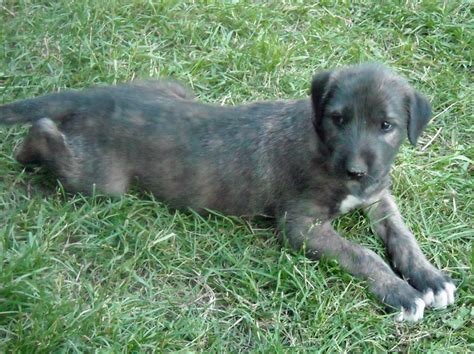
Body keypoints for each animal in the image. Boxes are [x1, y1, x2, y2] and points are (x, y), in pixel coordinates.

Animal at [0, 63, 456, 320]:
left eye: (386, 125)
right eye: (338, 119)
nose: (358, 172)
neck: (321, 146)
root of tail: (96, 97)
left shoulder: (379, 198)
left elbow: (404, 238)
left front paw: (430, 279)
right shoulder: (302, 226)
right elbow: (361, 254)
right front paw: (401, 292)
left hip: (175, 88)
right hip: (100, 182)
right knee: (41, 131)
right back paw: (29, 145)